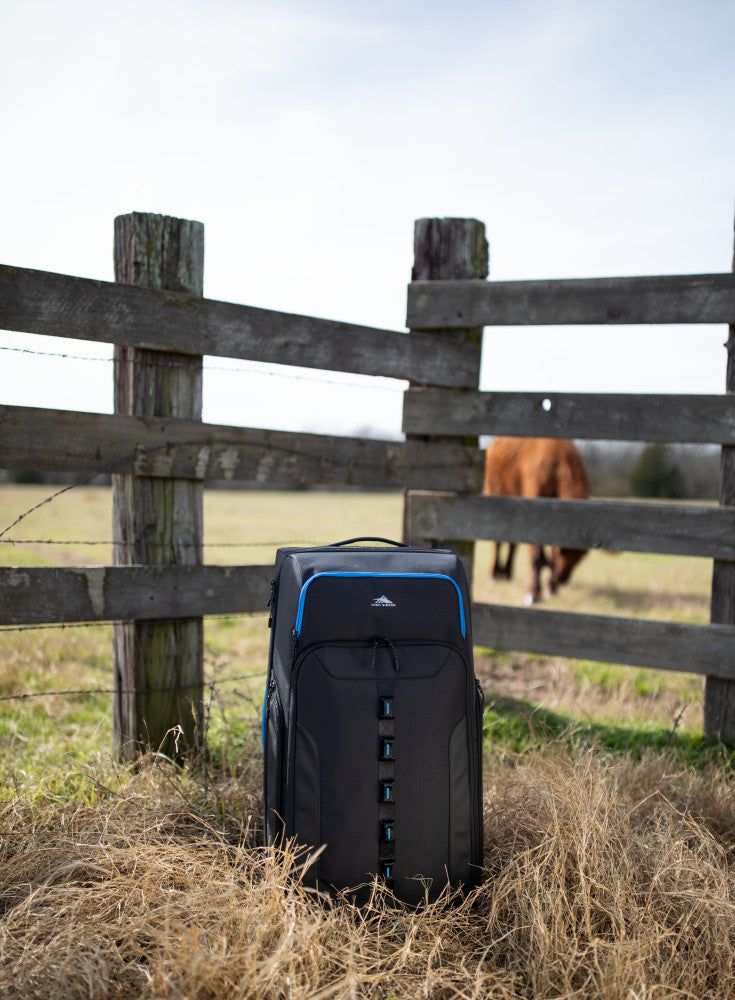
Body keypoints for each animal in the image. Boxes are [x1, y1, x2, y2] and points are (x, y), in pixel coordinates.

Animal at [482, 437, 590, 603]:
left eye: (580, 558)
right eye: (564, 552)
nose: (563, 578)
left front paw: (550, 588)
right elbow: (537, 556)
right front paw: (534, 592)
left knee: (512, 544)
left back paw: (507, 573)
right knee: (497, 543)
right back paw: (493, 574)